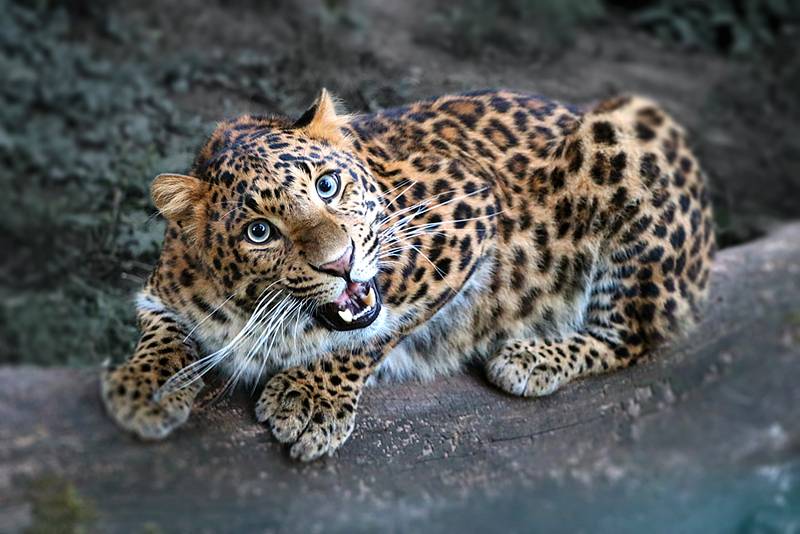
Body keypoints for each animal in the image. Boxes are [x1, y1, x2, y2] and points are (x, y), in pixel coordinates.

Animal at [101, 88, 720, 460]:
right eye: (259, 232)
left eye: (327, 185)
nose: (340, 261)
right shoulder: (162, 296)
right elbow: (160, 337)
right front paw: (144, 388)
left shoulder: (469, 208)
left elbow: (378, 327)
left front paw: (311, 398)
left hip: (625, 130)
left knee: (633, 336)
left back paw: (530, 358)